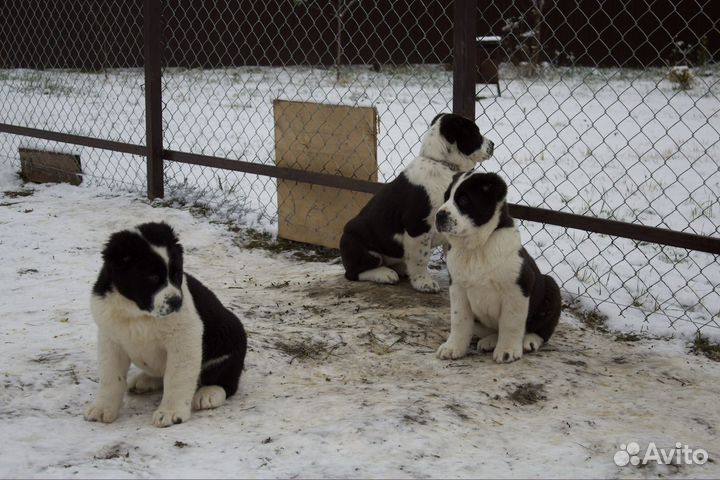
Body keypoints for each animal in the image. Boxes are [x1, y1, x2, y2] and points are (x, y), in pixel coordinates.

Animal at [83, 221, 248, 428]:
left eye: (177, 273)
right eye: (153, 278)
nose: (177, 302)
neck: (139, 314)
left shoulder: (184, 338)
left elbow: (176, 378)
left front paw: (171, 412)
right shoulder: (110, 339)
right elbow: (111, 377)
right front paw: (103, 408)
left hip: (232, 338)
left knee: (227, 382)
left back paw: (209, 393)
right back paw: (145, 380)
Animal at [340, 112, 492, 292]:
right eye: (475, 132)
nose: (492, 145)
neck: (443, 165)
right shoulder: (418, 227)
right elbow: (421, 258)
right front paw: (423, 282)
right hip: (359, 246)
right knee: (353, 272)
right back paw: (384, 274)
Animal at [434, 172, 564, 364]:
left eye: (464, 200)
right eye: (446, 197)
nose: (439, 216)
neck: (477, 248)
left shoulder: (517, 289)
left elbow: (510, 323)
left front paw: (507, 350)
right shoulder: (457, 287)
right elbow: (459, 320)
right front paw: (453, 347)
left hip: (551, 287)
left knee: (541, 331)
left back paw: (529, 340)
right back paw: (489, 341)